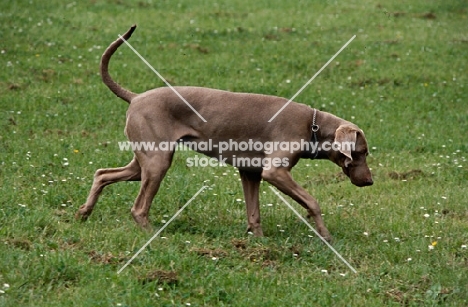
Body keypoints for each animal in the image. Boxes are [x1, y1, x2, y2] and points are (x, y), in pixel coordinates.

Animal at [76, 25, 372, 242]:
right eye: (362, 152)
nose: (370, 181)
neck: (313, 125)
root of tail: (135, 97)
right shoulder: (275, 172)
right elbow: (312, 201)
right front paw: (326, 235)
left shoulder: (250, 171)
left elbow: (254, 212)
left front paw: (259, 240)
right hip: (157, 161)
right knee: (138, 208)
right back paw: (154, 235)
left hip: (144, 161)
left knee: (102, 174)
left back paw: (83, 213)